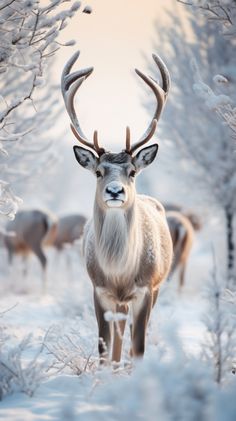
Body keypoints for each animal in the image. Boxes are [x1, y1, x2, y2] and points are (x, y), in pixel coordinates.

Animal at [61, 51, 173, 360]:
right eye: (99, 172)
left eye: (132, 171)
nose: (114, 190)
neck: (120, 273)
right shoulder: (99, 290)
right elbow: (104, 348)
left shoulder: (145, 289)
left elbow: (139, 348)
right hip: (119, 304)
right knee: (118, 342)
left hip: (155, 288)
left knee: (131, 337)